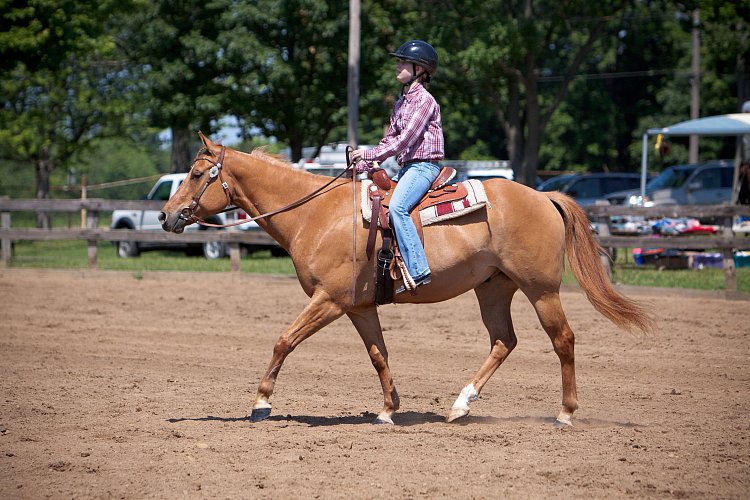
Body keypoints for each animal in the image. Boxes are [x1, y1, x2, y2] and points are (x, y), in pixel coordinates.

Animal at [159, 132, 652, 426]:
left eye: (198, 174)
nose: (166, 216)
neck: (316, 214)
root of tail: (545, 196)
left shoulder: (328, 300)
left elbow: (284, 340)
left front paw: (261, 403)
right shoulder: (358, 306)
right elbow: (379, 354)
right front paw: (388, 409)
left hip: (541, 289)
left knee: (563, 339)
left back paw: (565, 413)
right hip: (493, 288)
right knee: (503, 341)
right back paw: (459, 405)